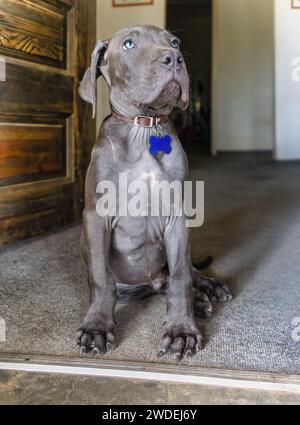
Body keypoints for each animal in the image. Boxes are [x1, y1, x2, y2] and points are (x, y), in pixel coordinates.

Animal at [77, 24, 232, 360]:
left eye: (175, 42)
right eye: (129, 44)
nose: (173, 58)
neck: (143, 126)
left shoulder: (177, 219)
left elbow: (181, 277)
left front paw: (181, 330)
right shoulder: (95, 217)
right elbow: (100, 279)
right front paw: (96, 328)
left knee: (183, 274)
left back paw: (206, 292)